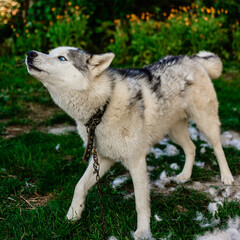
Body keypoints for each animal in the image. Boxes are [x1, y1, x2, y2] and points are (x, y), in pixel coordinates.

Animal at [25, 46, 232, 238]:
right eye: (49, 52)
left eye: (62, 58)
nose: (30, 53)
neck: (102, 107)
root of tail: (191, 58)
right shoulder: (103, 158)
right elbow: (79, 186)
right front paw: (72, 216)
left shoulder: (137, 162)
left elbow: (140, 203)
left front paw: (143, 232)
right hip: (175, 132)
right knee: (192, 148)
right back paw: (184, 176)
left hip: (205, 123)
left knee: (218, 147)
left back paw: (227, 177)